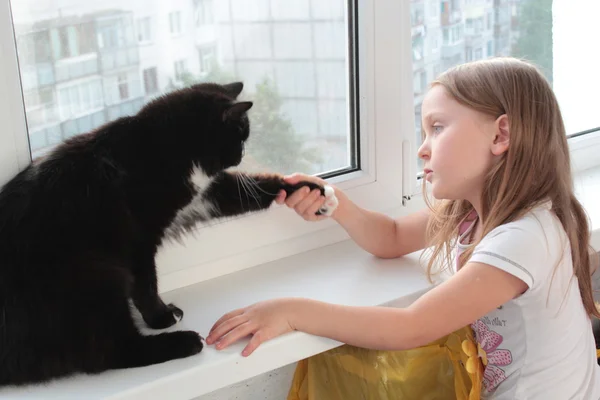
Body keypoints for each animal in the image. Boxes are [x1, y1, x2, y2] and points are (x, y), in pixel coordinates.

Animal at [0, 81, 336, 384]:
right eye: (239, 137)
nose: (240, 156)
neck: (164, 146)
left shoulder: (206, 193)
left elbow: (254, 187)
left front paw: (314, 192)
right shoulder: (140, 240)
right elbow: (147, 285)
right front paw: (161, 317)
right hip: (98, 277)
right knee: (109, 352)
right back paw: (183, 342)